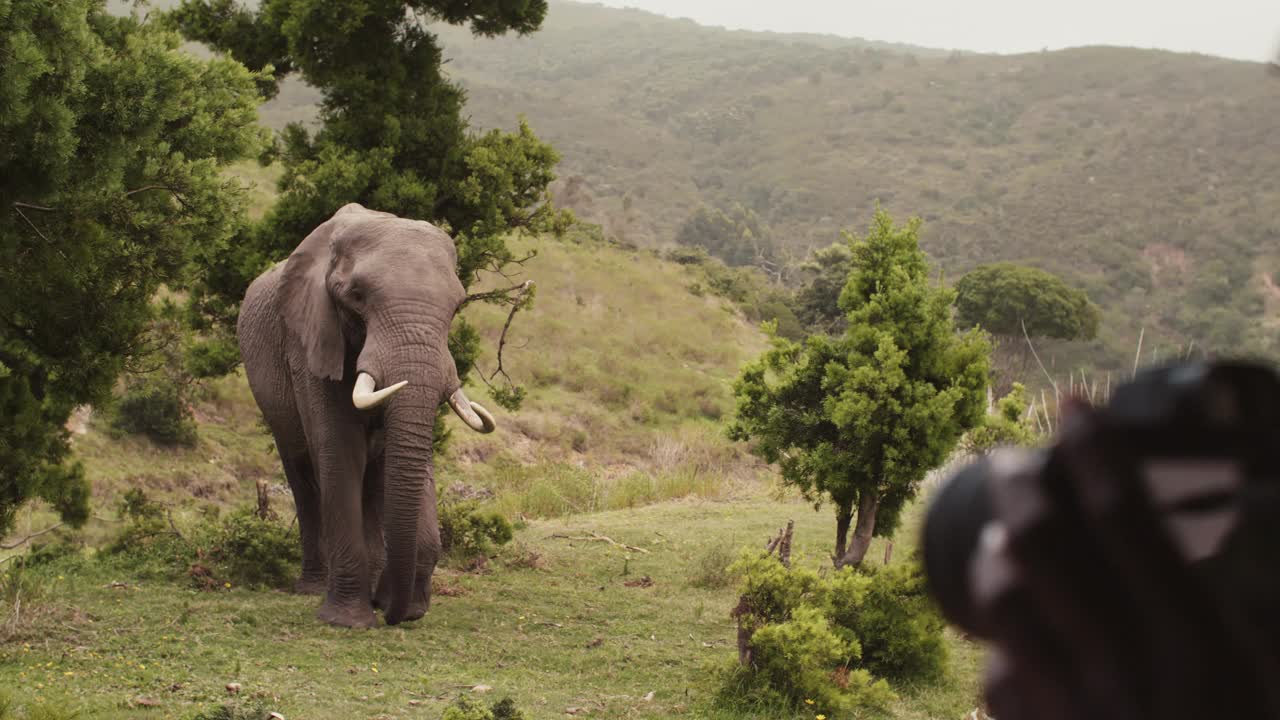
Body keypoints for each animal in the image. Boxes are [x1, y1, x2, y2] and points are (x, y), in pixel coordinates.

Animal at [235, 199, 494, 622]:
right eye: (356, 296)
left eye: (457, 306)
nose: (393, 614)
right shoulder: (310, 339)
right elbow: (339, 449)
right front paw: (348, 620)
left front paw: (404, 607)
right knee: (302, 472)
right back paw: (312, 588)